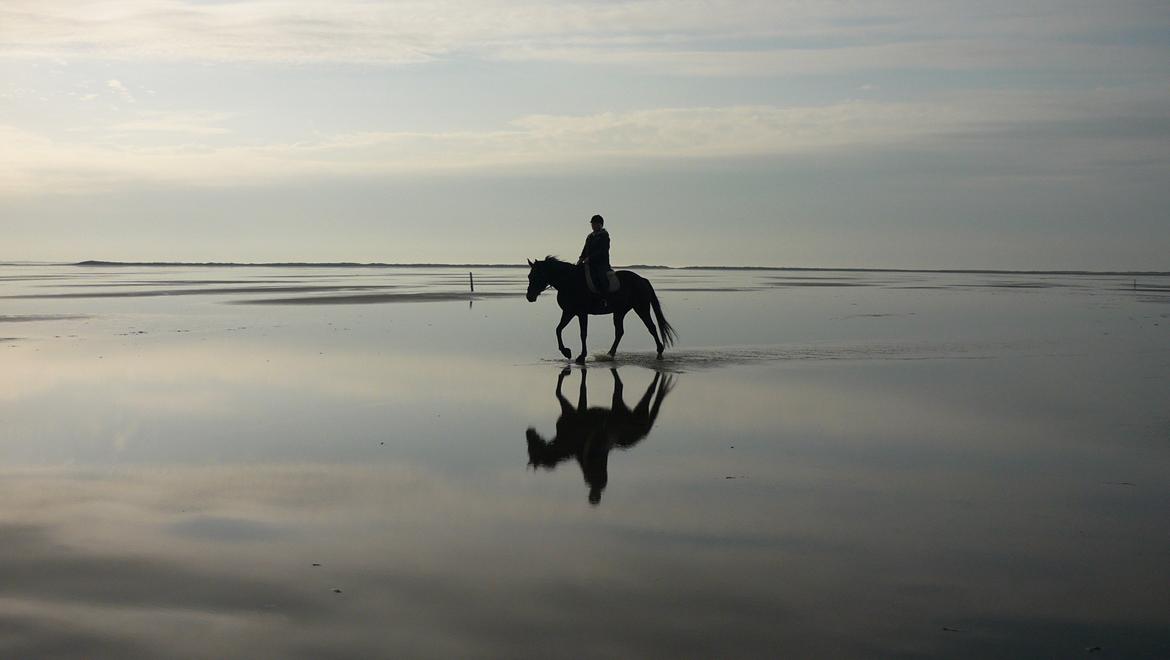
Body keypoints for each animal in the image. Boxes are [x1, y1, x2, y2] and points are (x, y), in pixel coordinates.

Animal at [528, 255, 683, 362]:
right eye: (529, 276)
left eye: (536, 276)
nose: (529, 297)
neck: (569, 282)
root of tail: (643, 280)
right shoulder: (569, 312)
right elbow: (558, 329)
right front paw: (566, 352)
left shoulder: (582, 313)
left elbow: (582, 333)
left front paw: (581, 356)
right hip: (620, 311)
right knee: (620, 332)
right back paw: (610, 353)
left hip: (641, 308)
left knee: (651, 327)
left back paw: (660, 351)